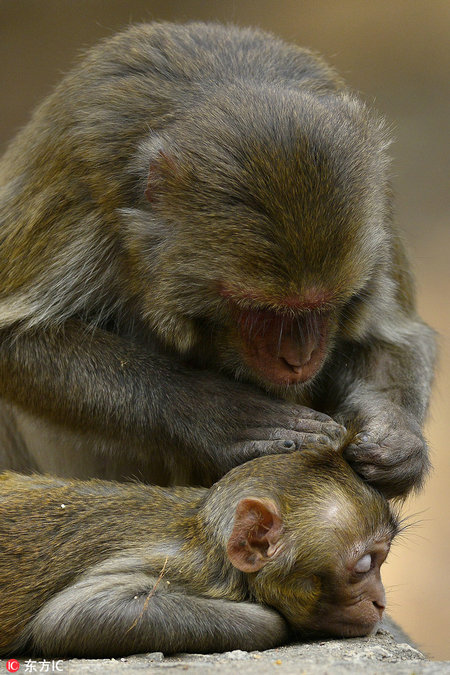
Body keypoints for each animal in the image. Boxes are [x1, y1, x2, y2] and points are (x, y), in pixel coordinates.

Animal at [0, 22, 436, 496]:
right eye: (258, 309)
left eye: (325, 305)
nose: (299, 359)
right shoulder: (84, 188)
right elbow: (16, 340)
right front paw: (215, 414)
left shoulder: (378, 208)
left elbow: (396, 337)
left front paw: (394, 436)